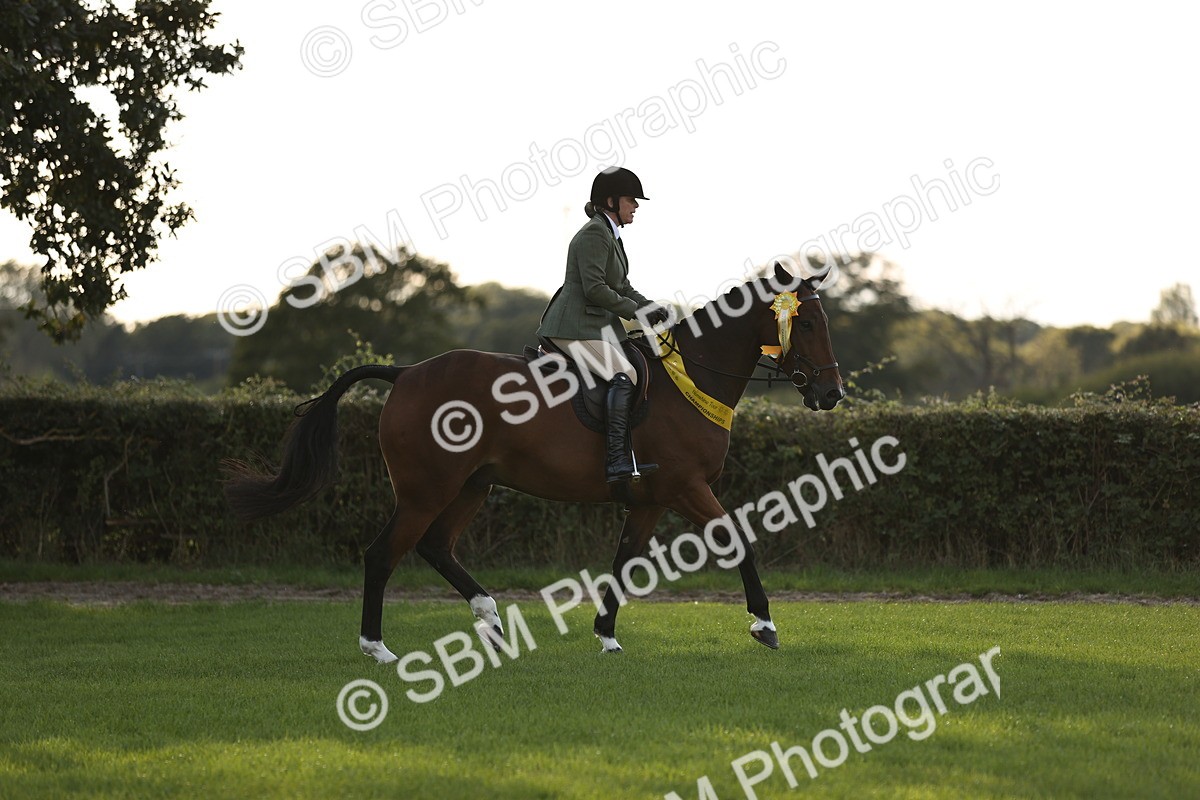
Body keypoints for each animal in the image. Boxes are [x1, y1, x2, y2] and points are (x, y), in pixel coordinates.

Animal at [223, 263, 844, 662]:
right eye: (808, 323)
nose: (831, 394)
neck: (692, 375)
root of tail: (405, 373)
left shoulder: (650, 500)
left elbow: (623, 564)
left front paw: (606, 635)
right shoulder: (687, 487)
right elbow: (739, 541)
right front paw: (764, 625)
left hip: (472, 486)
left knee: (435, 547)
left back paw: (491, 621)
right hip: (427, 489)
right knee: (383, 555)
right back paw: (378, 649)